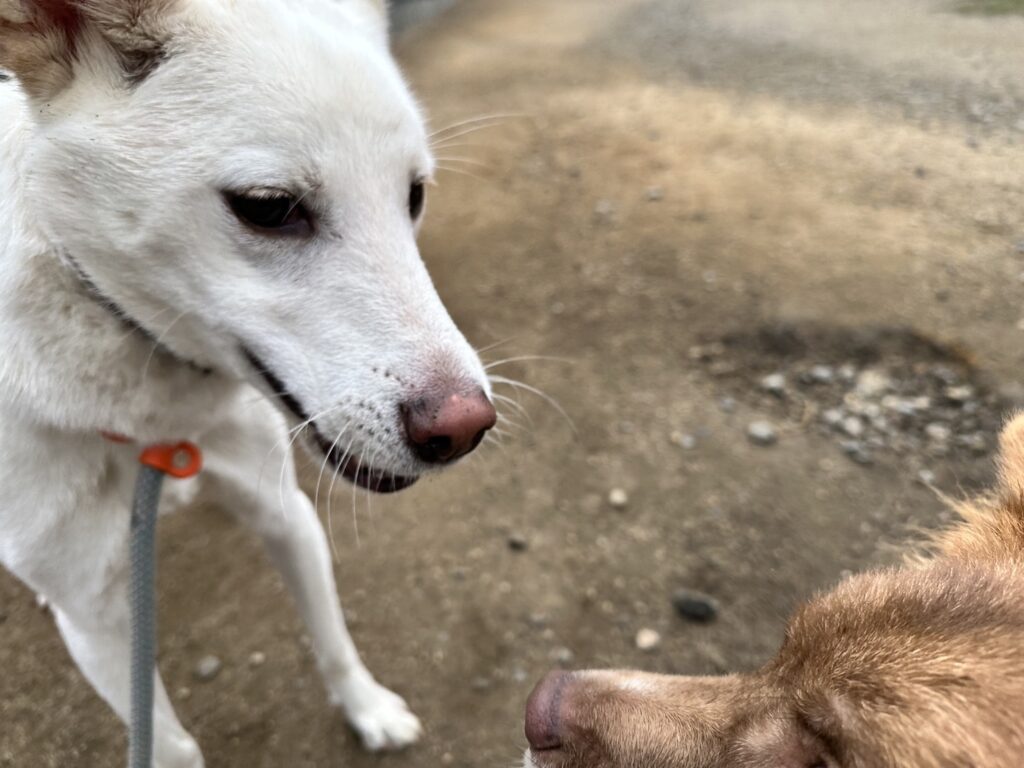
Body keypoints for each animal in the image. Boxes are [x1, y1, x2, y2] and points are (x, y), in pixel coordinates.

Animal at [0, 0, 498, 765]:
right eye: (268, 206)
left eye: (413, 195)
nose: (466, 431)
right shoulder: (97, 624)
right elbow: (171, 747)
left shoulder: (284, 512)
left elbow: (334, 640)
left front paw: (369, 710)